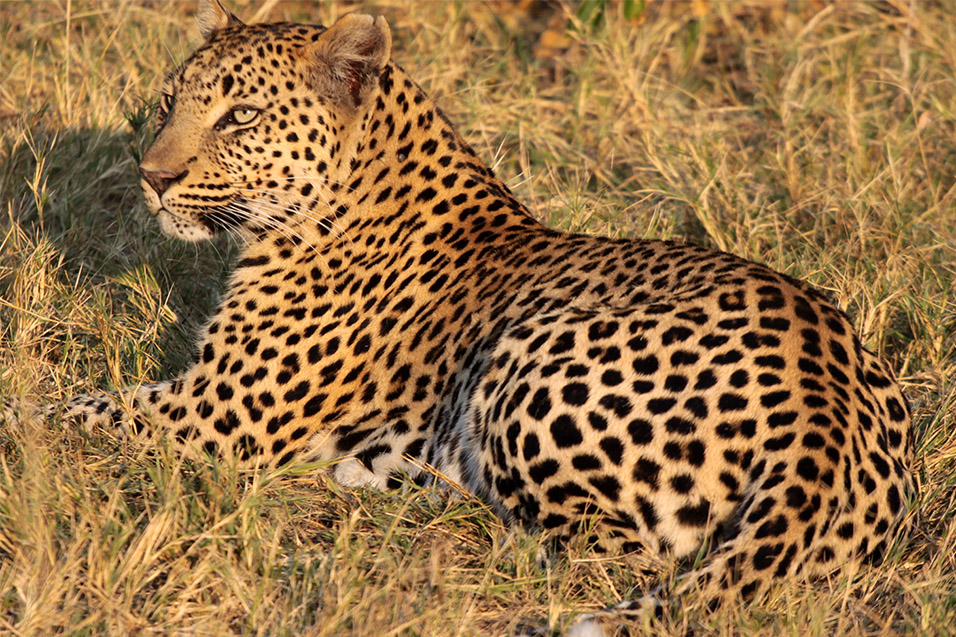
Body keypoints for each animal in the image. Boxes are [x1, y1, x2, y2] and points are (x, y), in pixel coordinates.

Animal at [11, 1, 916, 632]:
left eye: (241, 116)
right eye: (169, 101)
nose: (152, 176)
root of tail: (825, 408)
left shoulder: (216, 409)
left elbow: (66, 413)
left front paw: (18, 430)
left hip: (528, 356)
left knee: (585, 546)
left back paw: (385, 489)